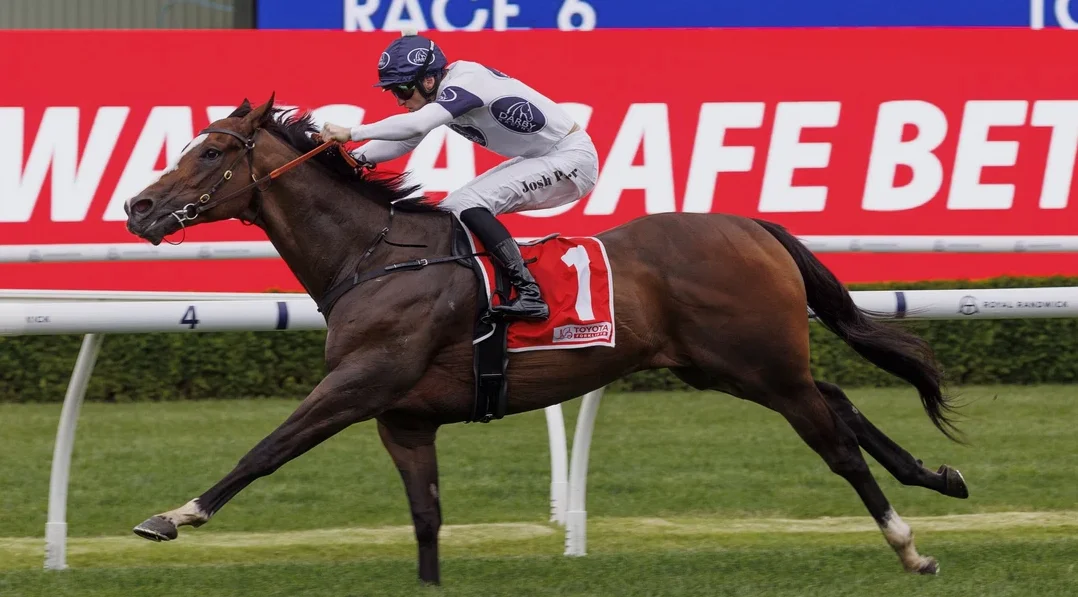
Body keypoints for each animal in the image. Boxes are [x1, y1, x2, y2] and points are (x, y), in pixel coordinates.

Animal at [122, 95, 969, 585]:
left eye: (210, 152)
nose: (138, 206)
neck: (374, 255)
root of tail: (749, 224)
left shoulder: (361, 381)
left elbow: (266, 448)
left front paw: (173, 515)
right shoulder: (405, 417)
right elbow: (426, 520)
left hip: (762, 366)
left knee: (838, 443)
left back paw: (909, 543)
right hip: (728, 365)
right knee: (841, 400)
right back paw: (939, 475)